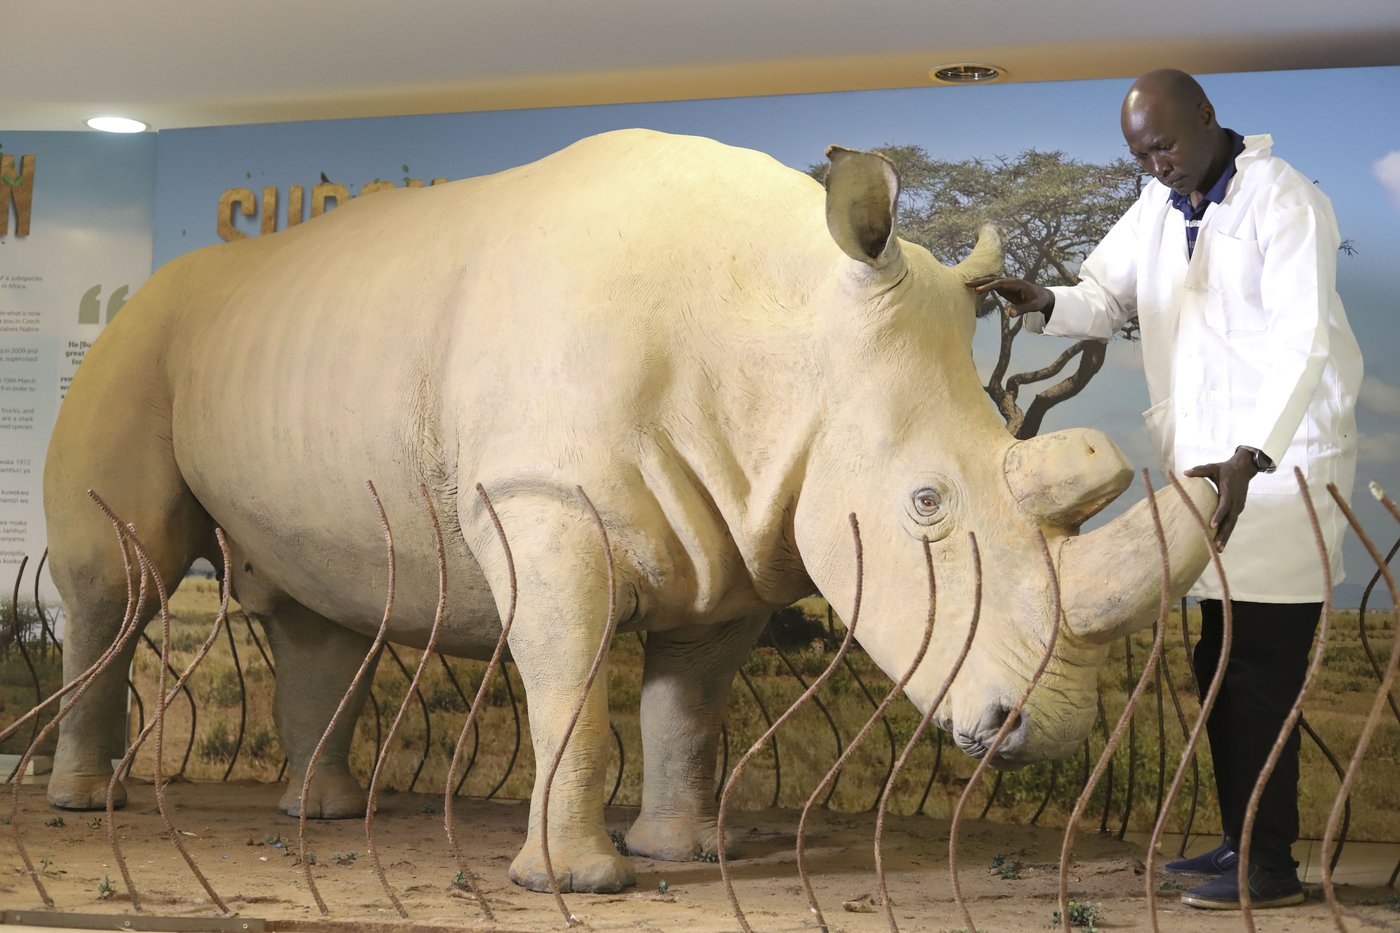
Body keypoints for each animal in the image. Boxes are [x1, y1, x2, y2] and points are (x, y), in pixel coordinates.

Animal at [44, 129, 1215, 893]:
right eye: (924, 504)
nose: (1034, 732)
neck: (780, 323)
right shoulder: (540, 495)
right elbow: (571, 681)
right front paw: (573, 883)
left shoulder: (741, 526)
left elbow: (689, 705)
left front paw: (682, 855)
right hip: (137, 340)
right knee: (117, 582)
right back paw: (84, 807)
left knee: (321, 601)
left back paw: (318, 814)